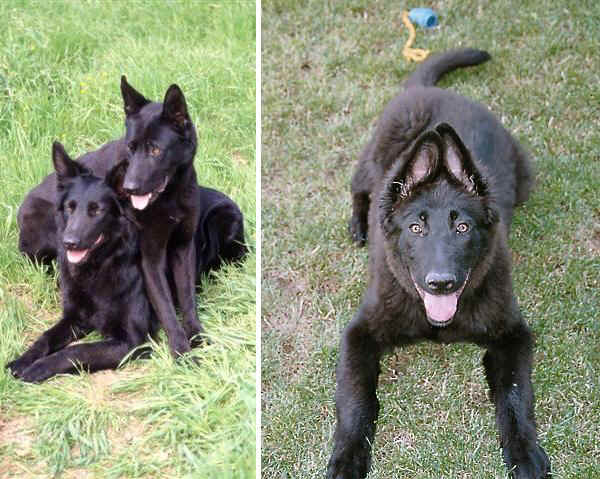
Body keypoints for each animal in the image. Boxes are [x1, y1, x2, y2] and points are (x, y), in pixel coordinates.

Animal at [7, 144, 157, 384]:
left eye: (97, 211)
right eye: (70, 208)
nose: (68, 242)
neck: (98, 268)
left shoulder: (131, 342)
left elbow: (77, 350)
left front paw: (38, 367)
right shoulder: (74, 318)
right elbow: (45, 337)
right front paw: (23, 360)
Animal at [17, 79, 246, 358]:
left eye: (155, 150)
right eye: (131, 148)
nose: (129, 188)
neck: (170, 196)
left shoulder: (183, 247)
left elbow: (187, 297)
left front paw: (197, 337)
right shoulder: (151, 258)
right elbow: (165, 307)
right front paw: (181, 351)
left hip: (225, 218)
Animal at [326, 48, 552, 479]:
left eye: (462, 227)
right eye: (416, 227)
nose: (441, 283)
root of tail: (429, 89)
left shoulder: (513, 334)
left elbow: (516, 397)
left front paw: (525, 454)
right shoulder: (359, 334)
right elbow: (357, 401)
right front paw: (347, 459)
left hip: (524, 179)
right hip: (373, 160)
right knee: (359, 188)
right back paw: (358, 223)